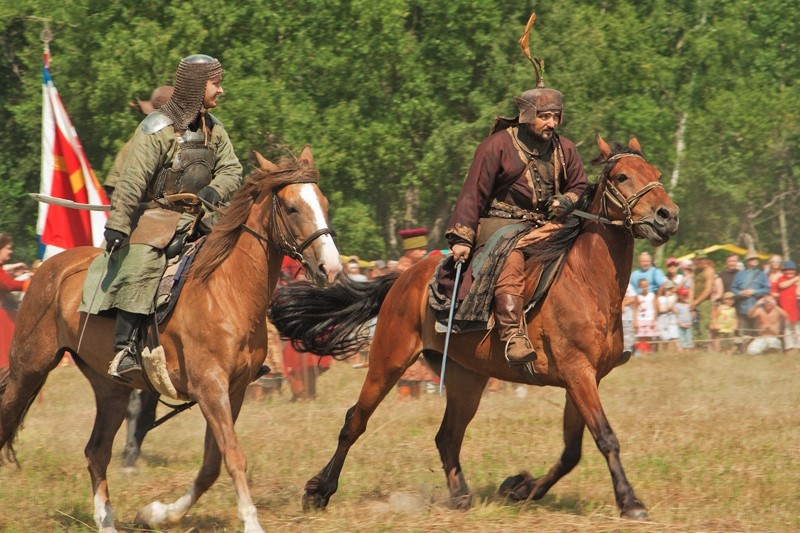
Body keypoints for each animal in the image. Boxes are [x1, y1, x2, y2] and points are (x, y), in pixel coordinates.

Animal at [0, 145, 340, 532]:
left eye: (324, 203)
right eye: (293, 207)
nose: (331, 268)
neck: (226, 289)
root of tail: (48, 271)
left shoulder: (233, 391)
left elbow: (211, 466)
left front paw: (157, 513)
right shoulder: (210, 388)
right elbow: (233, 456)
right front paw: (251, 522)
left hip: (110, 388)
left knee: (97, 450)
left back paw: (106, 521)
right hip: (29, 369)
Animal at [270, 135, 680, 516]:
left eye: (657, 174)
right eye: (622, 176)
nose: (667, 215)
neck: (586, 282)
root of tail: (404, 278)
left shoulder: (584, 380)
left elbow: (571, 452)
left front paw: (519, 488)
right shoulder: (578, 374)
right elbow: (605, 438)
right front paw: (630, 502)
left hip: (467, 378)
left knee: (448, 437)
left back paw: (460, 495)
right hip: (388, 363)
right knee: (355, 421)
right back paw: (319, 491)